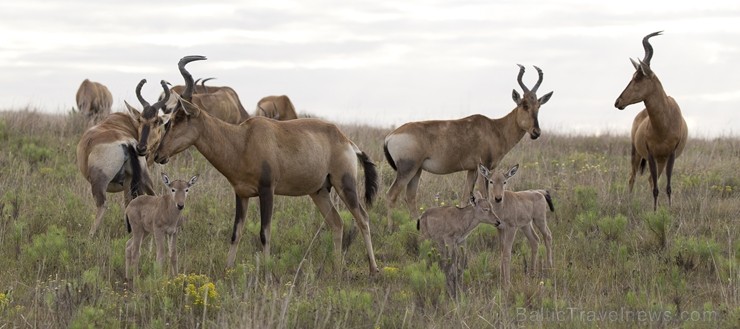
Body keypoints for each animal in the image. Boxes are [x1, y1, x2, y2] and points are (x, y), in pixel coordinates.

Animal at [76, 79, 172, 236]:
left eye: (156, 121)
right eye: (141, 119)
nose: (142, 148)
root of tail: (126, 143)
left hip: (99, 181)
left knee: (102, 205)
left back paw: (90, 236)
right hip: (144, 178)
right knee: (151, 197)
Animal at [150, 56, 382, 274]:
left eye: (179, 117)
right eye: (168, 119)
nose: (158, 155)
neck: (243, 139)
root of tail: (346, 140)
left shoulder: (267, 190)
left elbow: (265, 233)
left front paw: (267, 271)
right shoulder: (241, 194)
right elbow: (236, 233)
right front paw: (228, 269)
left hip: (345, 185)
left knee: (363, 218)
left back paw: (373, 269)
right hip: (320, 191)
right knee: (336, 222)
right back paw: (337, 268)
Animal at [384, 64, 552, 228]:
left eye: (538, 105)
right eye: (524, 105)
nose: (536, 132)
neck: (495, 127)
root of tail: (390, 136)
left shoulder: (472, 170)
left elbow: (465, 198)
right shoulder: (485, 167)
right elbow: (485, 196)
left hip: (417, 170)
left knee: (410, 196)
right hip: (407, 169)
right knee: (391, 195)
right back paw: (390, 228)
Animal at [612, 31, 688, 210]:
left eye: (638, 78)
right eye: (633, 76)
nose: (618, 102)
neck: (664, 124)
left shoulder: (671, 154)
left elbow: (667, 187)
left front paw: (667, 210)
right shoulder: (651, 153)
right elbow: (655, 188)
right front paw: (655, 212)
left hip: (661, 160)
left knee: (650, 180)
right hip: (637, 153)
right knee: (632, 177)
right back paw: (629, 202)